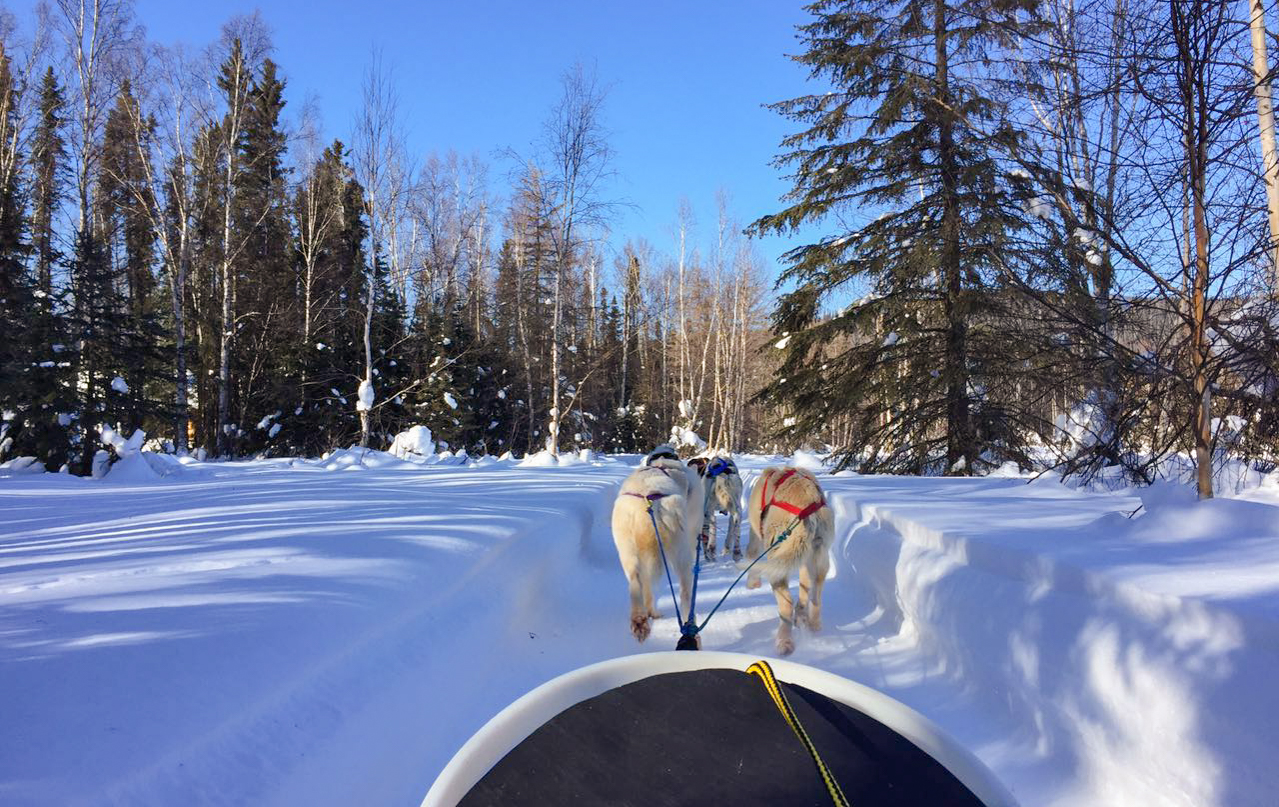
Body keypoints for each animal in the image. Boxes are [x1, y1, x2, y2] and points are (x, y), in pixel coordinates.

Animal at [611, 452, 706, 642]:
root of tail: (646, 503)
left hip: (628, 553)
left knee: (637, 584)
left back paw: (642, 619)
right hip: (681, 554)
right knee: (685, 595)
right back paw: (692, 628)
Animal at [746, 468, 833, 654]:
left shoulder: (756, 534)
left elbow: (751, 555)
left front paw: (753, 583)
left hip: (777, 559)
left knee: (786, 605)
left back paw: (784, 642)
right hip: (818, 557)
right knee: (813, 595)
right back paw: (810, 622)